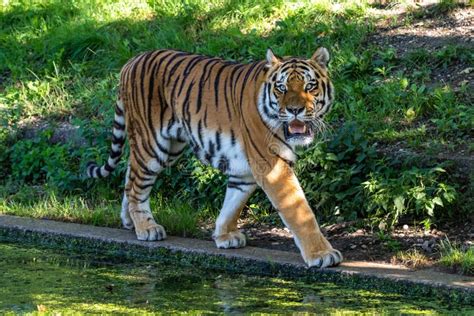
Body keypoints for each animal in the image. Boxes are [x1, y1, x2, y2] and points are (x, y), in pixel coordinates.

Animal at [86, 47, 344, 268]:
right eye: (281, 88)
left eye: (310, 86)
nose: (295, 110)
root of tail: (131, 61)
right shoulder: (272, 165)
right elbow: (300, 212)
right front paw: (322, 254)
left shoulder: (246, 170)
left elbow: (233, 202)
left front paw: (224, 235)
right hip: (152, 145)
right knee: (137, 186)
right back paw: (146, 228)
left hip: (170, 147)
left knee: (130, 176)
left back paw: (129, 220)